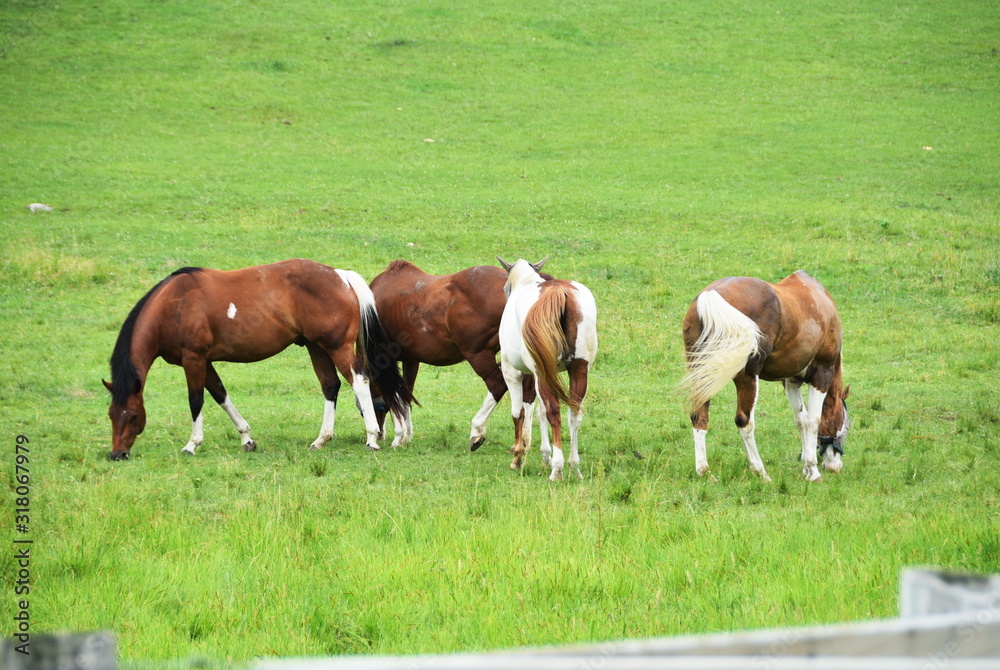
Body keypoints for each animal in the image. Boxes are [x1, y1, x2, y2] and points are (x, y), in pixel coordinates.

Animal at [102, 258, 410, 462]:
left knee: (359, 381)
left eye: (133, 415)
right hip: (317, 348)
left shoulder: (194, 358)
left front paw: (192, 444)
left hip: (336, 348)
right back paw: (321, 439)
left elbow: (196, 400)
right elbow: (221, 395)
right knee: (330, 386)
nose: (117, 454)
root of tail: (340, 275)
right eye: (111, 415)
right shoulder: (206, 362)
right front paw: (246, 438)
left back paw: (371, 438)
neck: (176, 304)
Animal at [368, 262, 540, 452]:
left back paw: (477, 431)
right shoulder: (410, 359)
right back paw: (523, 441)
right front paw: (406, 435)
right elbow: (406, 393)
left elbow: (395, 396)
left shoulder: (387, 359)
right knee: (528, 390)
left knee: (497, 384)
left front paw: (399, 437)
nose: (380, 433)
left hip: (478, 355)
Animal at [496, 258, 596, 484]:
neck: (527, 281)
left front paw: (518, 457)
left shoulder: (513, 372)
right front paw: (545, 455)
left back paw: (557, 469)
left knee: (554, 411)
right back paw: (574, 467)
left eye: (505, 288)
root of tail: (560, 292)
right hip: (578, 369)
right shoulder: (544, 372)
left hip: (542, 374)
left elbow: (519, 412)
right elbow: (539, 412)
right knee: (573, 413)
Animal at [680, 270, 852, 486]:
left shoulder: (791, 381)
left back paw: (704, 471)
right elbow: (813, 421)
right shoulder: (822, 374)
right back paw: (760, 472)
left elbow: (801, 420)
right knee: (744, 421)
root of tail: (711, 295)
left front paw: (806, 467)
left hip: (702, 375)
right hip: (747, 377)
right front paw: (812, 470)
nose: (834, 466)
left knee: (699, 416)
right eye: (846, 425)